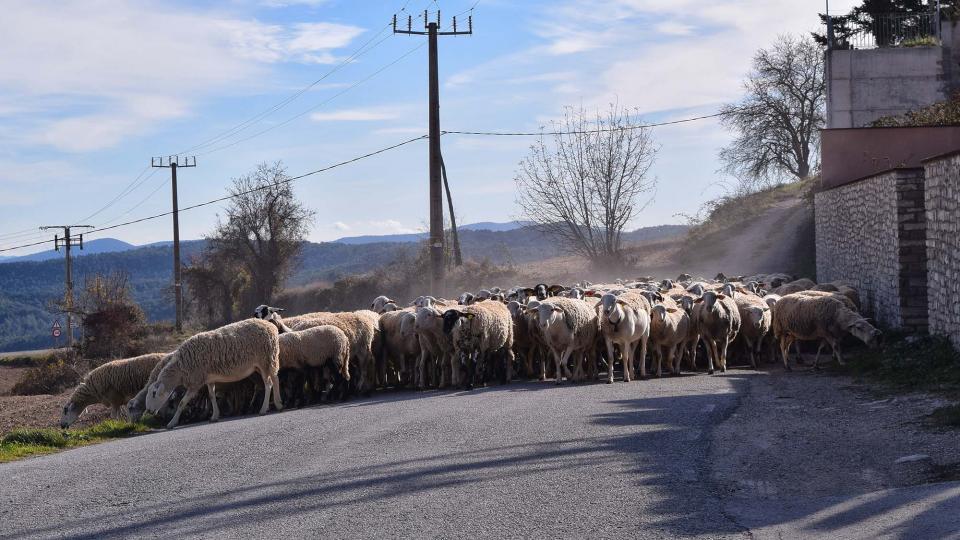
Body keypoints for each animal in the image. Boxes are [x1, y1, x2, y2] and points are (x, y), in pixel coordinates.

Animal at [144, 316, 284, 430]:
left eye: (154, 394)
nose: (149, 411)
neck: (180, 369)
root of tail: (270, 326)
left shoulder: (195, 381)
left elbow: (182, 403)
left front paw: (171, 423)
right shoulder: (208, 379)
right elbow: (212, 396)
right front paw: (215, 416)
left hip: (266, 359)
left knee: (269, 383)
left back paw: (265, 408)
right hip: (263, 363)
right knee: (275, 379)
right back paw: (278, 404)